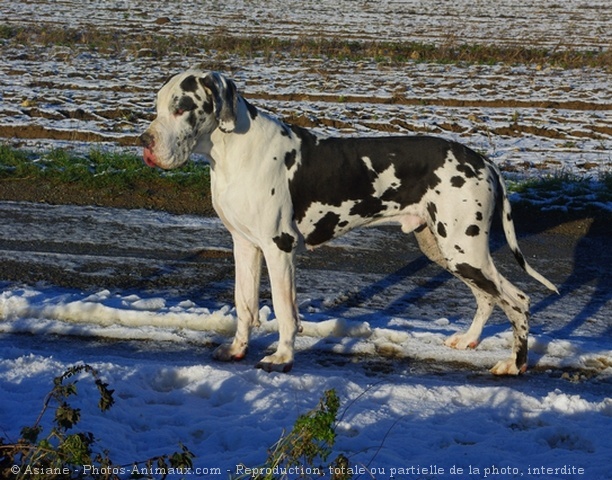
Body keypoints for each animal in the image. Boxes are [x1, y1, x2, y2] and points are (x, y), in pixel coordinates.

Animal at [140, 70, 560, 376]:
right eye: (158, 107)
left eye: (182, 108)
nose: (144, 141)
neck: (233, 151)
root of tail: (484, 161)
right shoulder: (244, 245)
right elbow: (244, 306)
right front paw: (237, 349)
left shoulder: (279, 248)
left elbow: (284, 311)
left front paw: (282, 358)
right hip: (446, 250)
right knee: (488, 297)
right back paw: (469, 340)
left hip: (464, 250)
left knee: (517, 299)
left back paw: (515, 365)